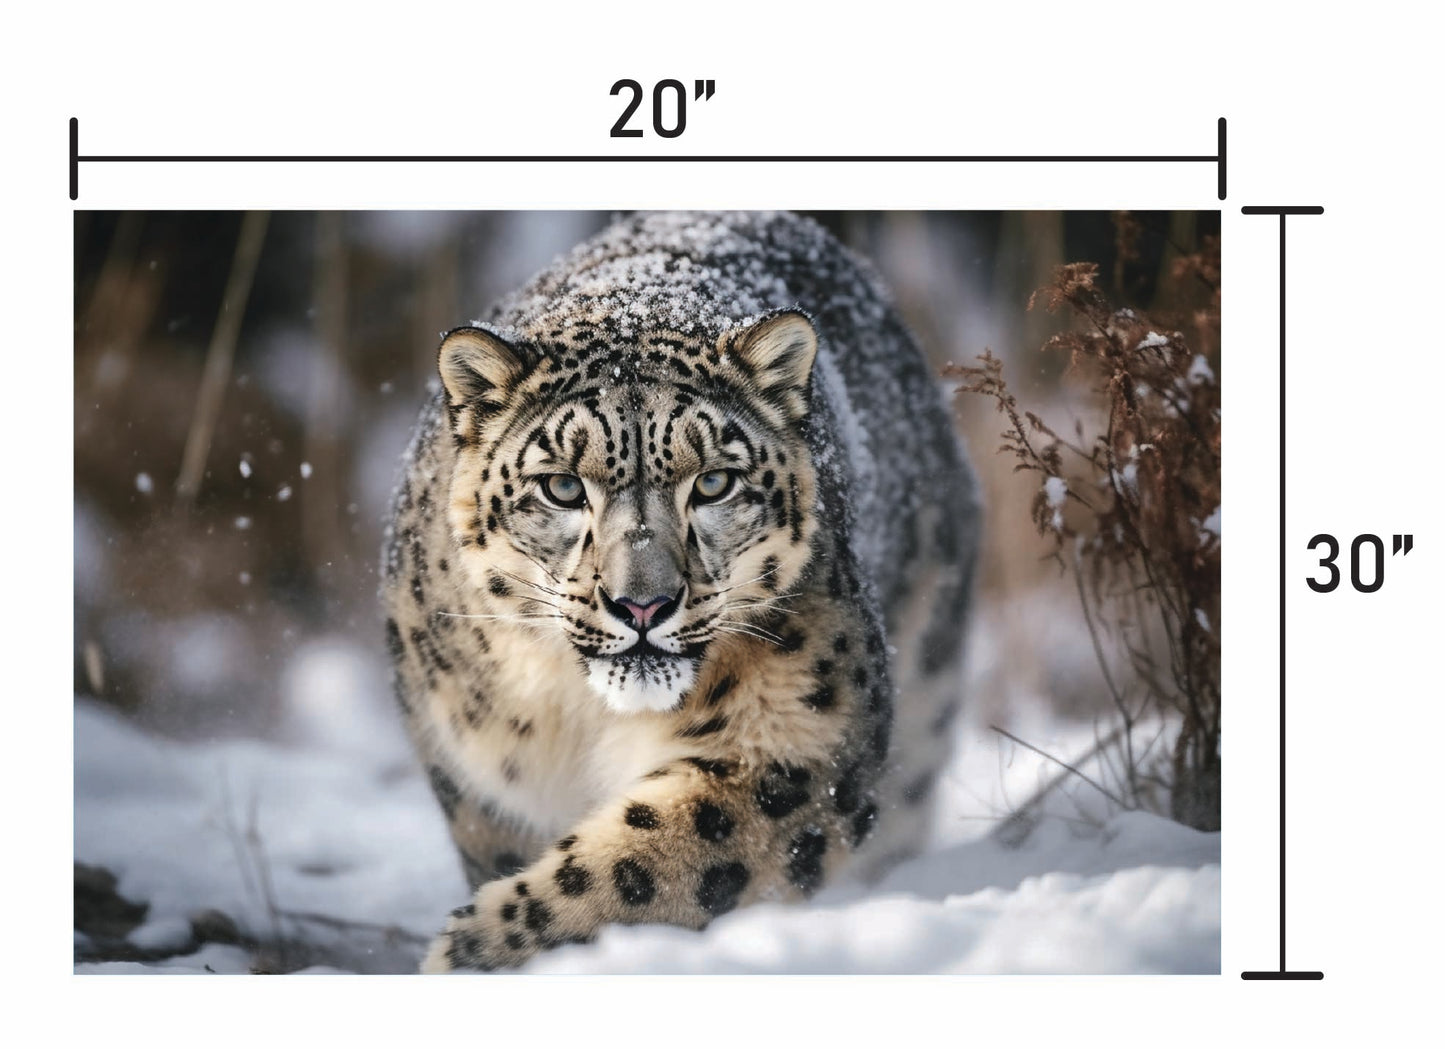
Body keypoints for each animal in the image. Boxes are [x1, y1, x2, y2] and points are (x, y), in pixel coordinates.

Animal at [381, 211, 979, 972]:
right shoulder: (477, 775)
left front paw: (479, 946)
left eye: (715, 481)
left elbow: (652, 862)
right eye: (562, 485)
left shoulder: (797, 739)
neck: (582, 719)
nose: (643, 603)